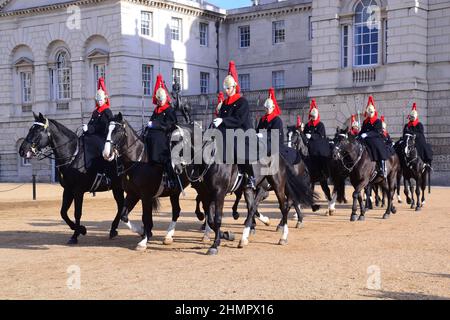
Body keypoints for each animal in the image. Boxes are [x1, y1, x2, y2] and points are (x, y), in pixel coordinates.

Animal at [18, 114, 124, 244]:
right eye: (29, 129)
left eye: (37, 131)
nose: (22, 150)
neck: (73, 155)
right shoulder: (68, 190)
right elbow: (63, 212)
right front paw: (80, 229)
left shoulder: (78, 191)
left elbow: (77, 213)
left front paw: (75, 235)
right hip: (117, 188)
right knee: (121, 206)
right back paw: (113, 230)